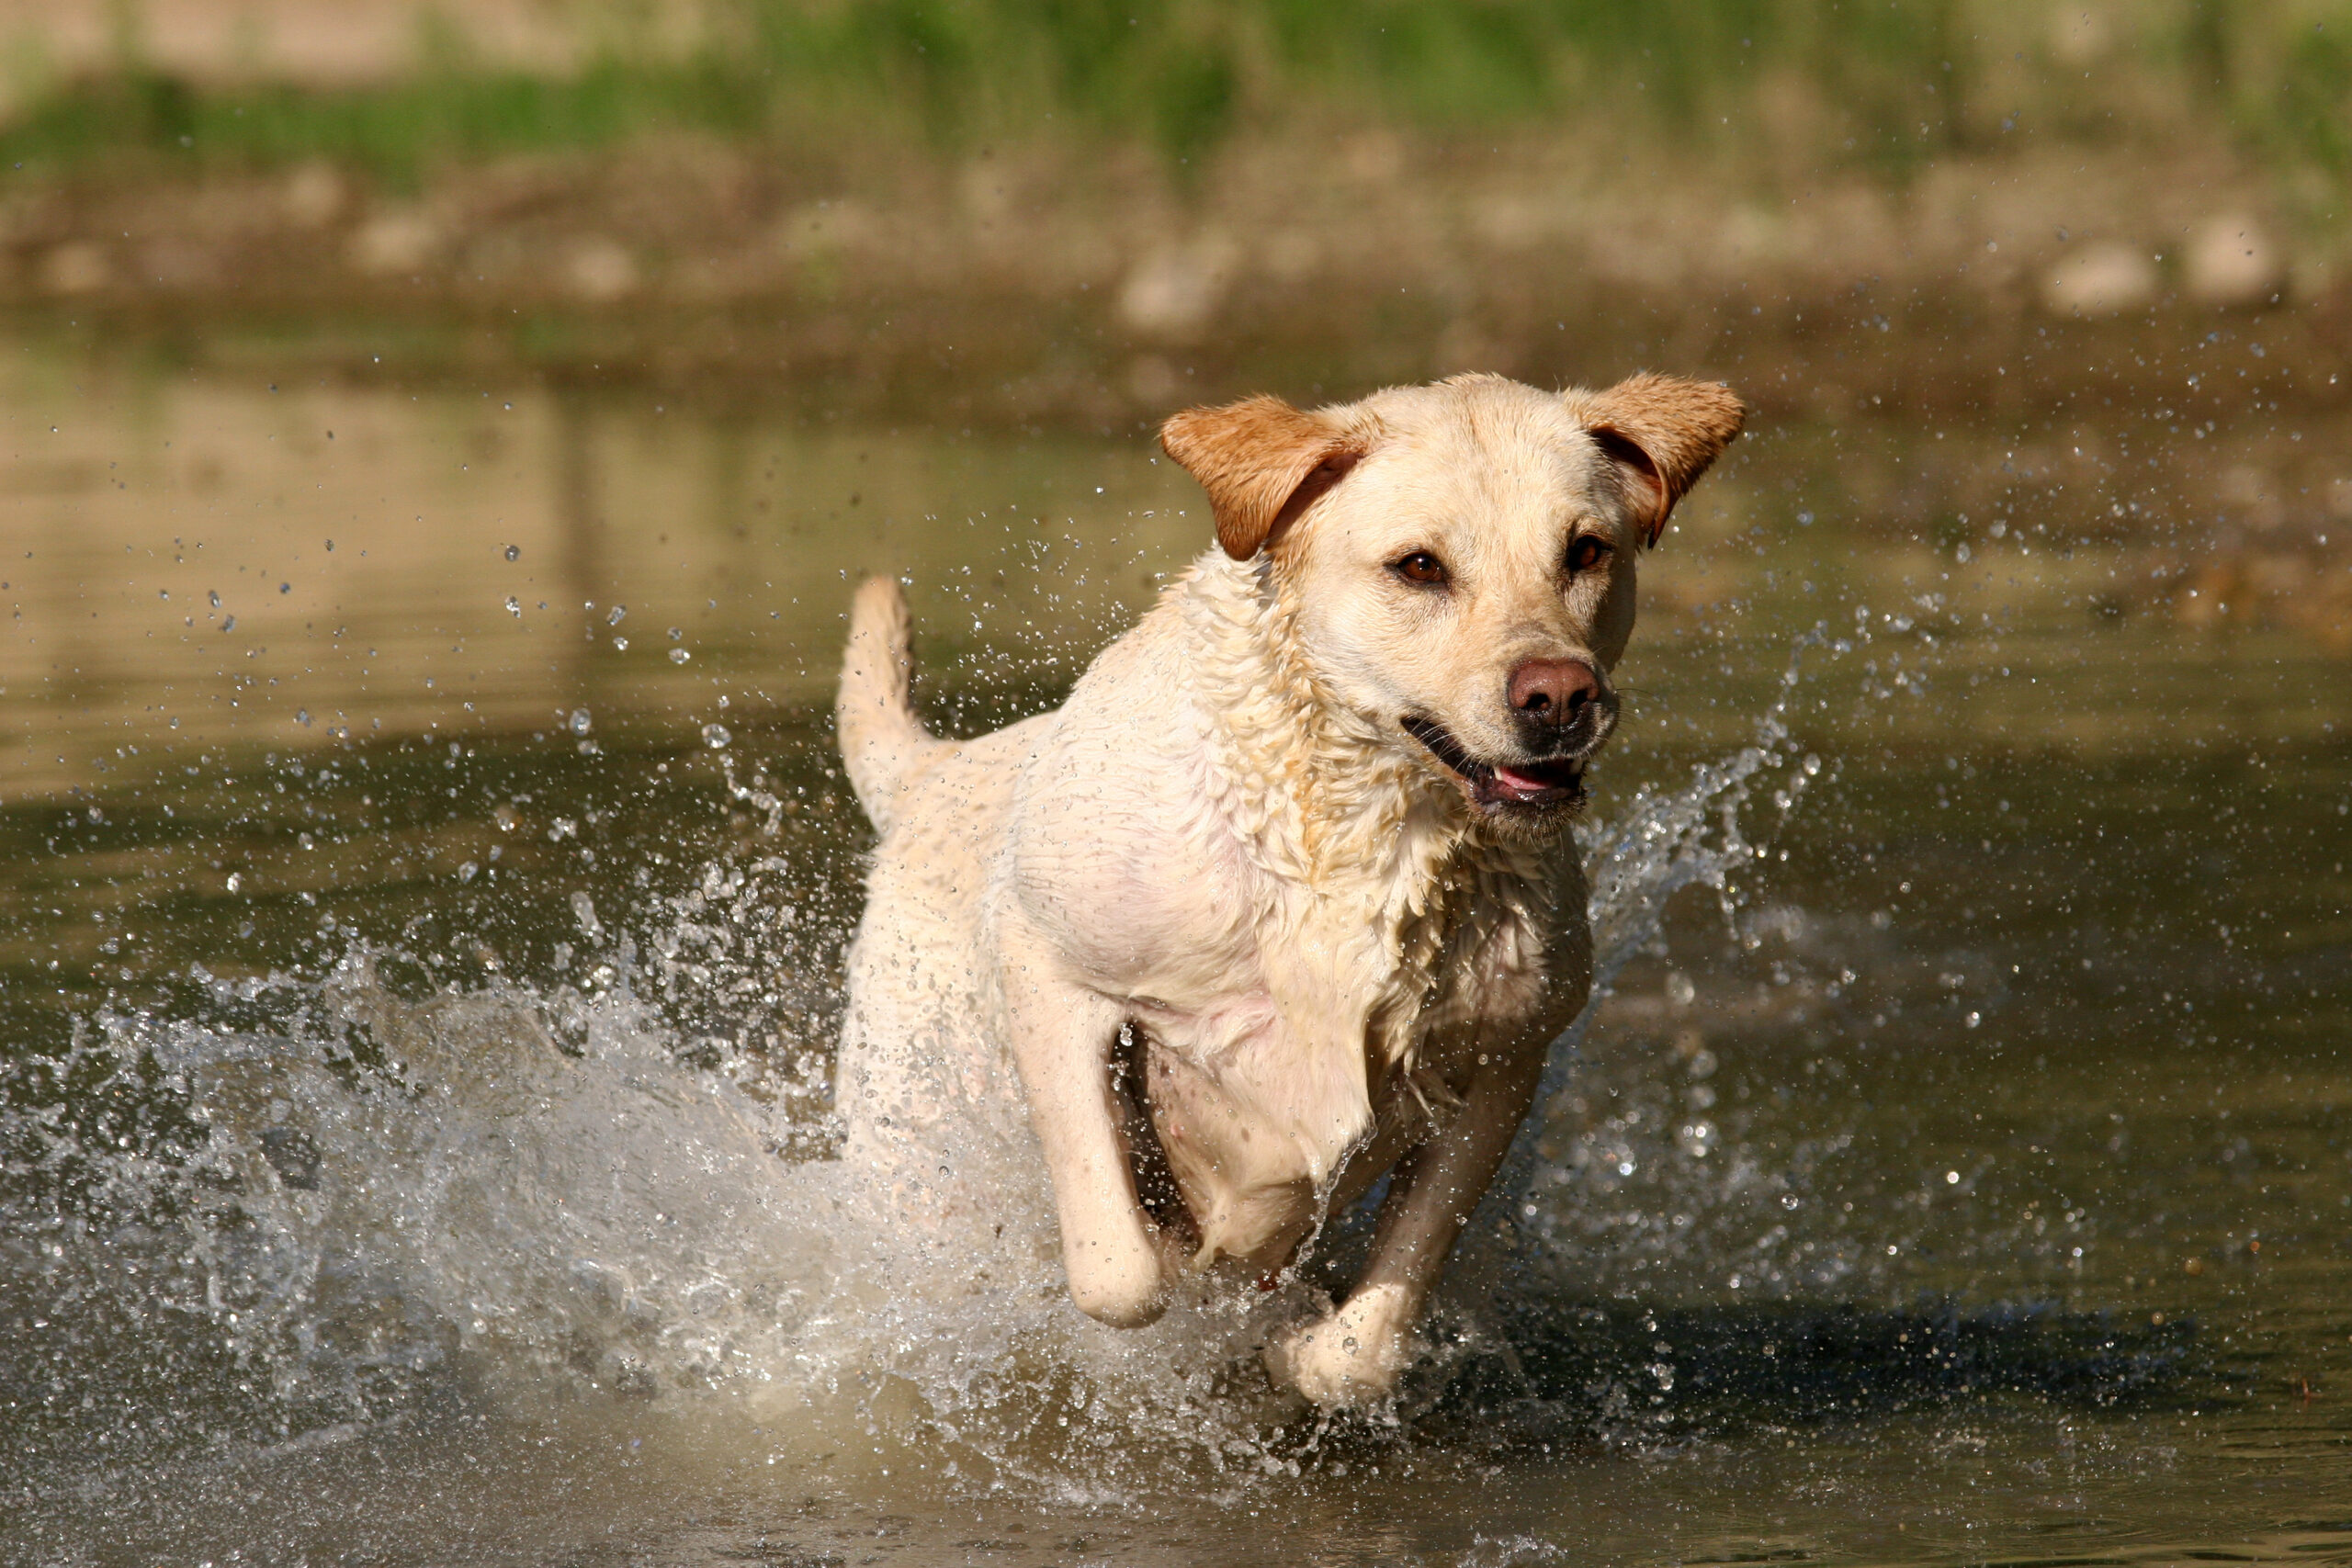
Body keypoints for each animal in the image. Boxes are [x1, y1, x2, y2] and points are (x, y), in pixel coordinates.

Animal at [837, 371, 1740, 1410]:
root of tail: (930, 772)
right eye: (1419, 567)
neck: (1364, 828)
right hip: (910, 1136)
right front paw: (1183, 1269)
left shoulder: (1504, 1063)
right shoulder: (1048, 967)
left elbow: (1369, 1336)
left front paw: (1296, 1347)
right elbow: (1121, 1272)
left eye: (1585, 550)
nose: (1558, 695)